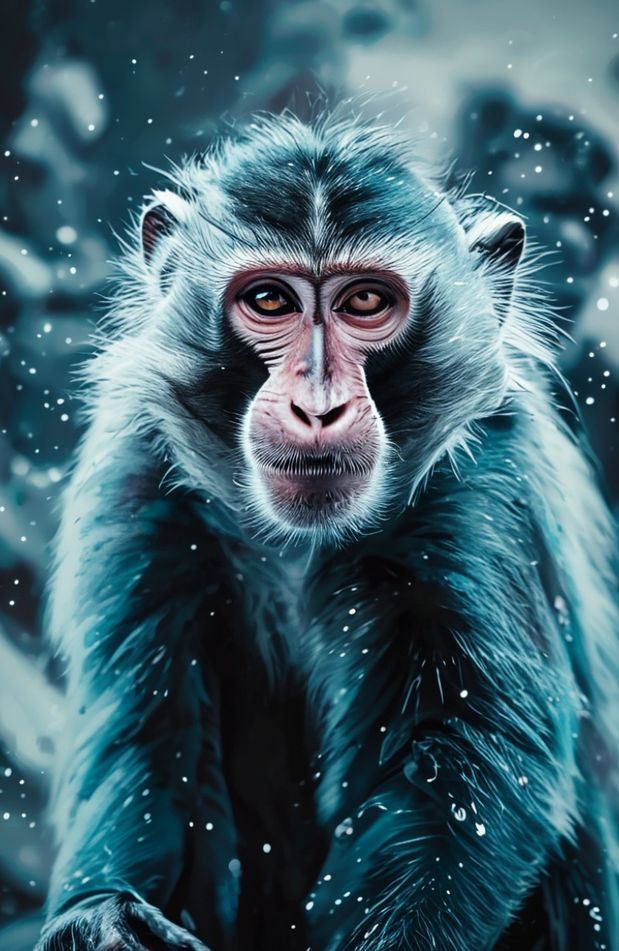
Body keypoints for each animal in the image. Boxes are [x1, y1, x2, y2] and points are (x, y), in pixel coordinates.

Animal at [35, 113, 618, 951]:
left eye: (366, 301)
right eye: (270, 300)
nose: (316, 404)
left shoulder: (485, 483)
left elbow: (473, 761)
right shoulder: (137, 472)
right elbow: (149, 740)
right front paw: (103, 921)